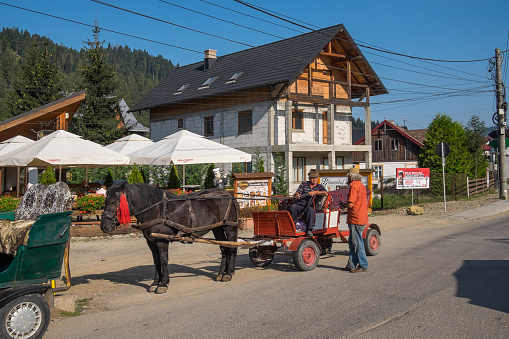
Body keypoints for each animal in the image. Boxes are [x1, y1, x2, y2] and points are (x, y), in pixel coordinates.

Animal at [102, 183, 241, 294]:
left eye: (113, 201)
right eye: (105, 201)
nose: (104, 226)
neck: (156, 209)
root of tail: (228, 194)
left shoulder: (161, 241)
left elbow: (163, 260)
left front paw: (163, 284)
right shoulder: (151, 242)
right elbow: (156, 261)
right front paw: (155, 283)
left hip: (230, 228)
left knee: (232, 248)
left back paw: (228, 274)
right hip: (217, 228)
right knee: (224, 248)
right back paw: (221, 273)